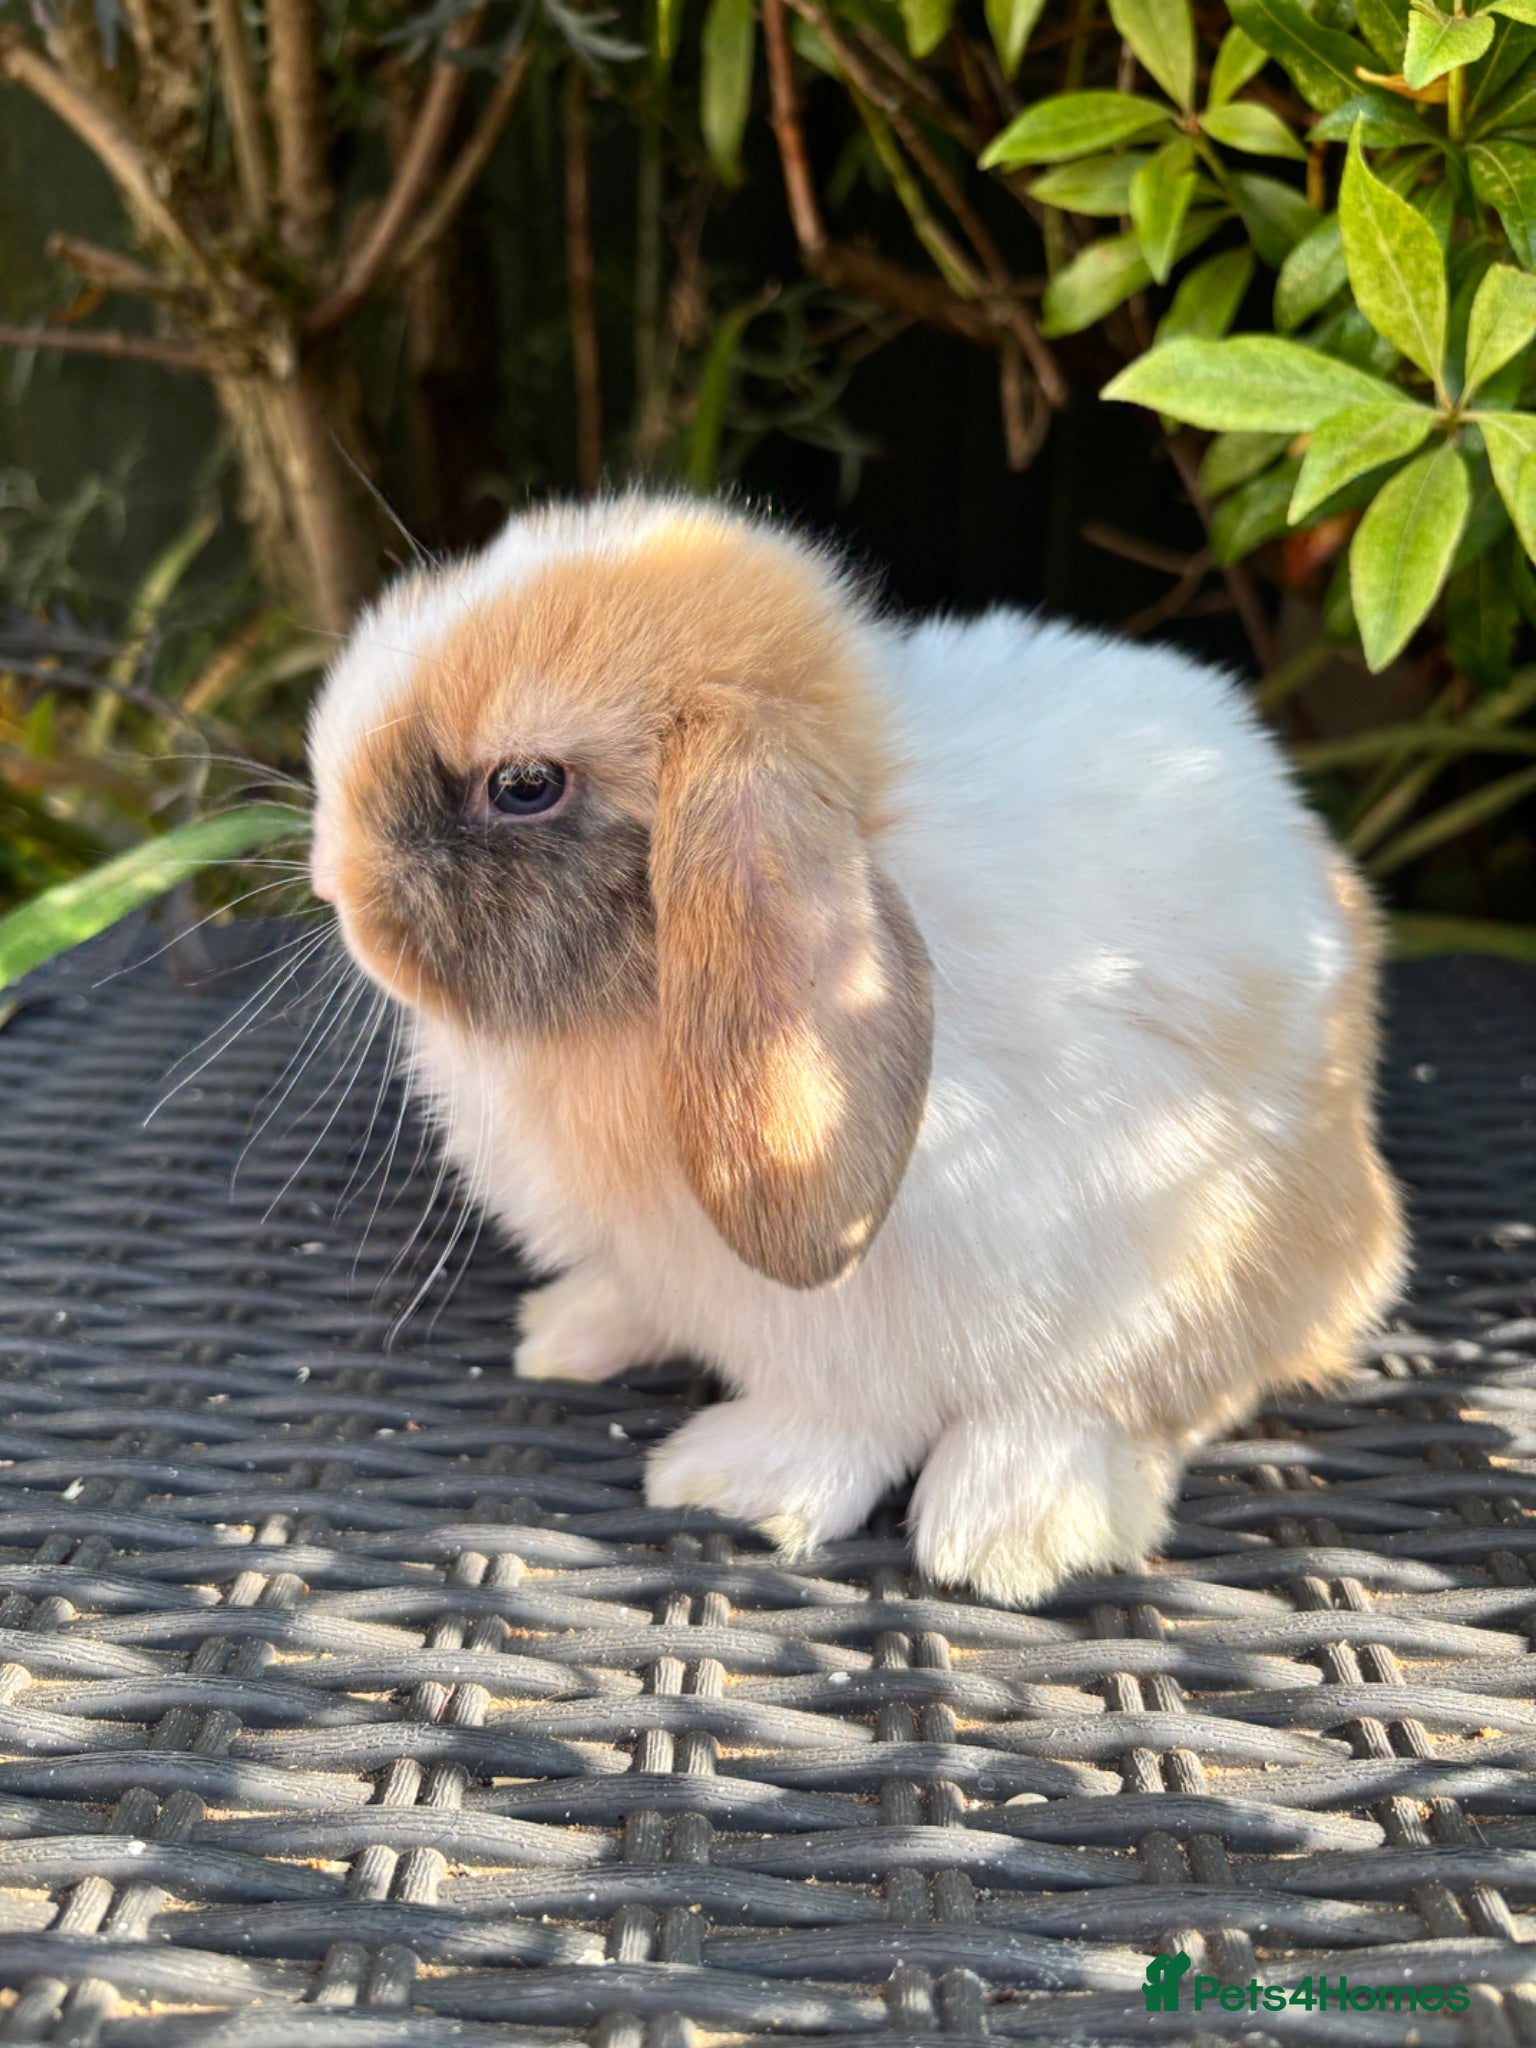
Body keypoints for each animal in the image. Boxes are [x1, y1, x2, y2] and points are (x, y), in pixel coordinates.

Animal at [307, 492, 1407, 1606]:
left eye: (525, 784)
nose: (331, 883)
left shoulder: (877, 1320)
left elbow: (841, 1422)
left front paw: (733, 1483)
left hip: (1187, 1270)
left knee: (1124, 1404)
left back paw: (1011, 1528)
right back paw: (576, 1330)